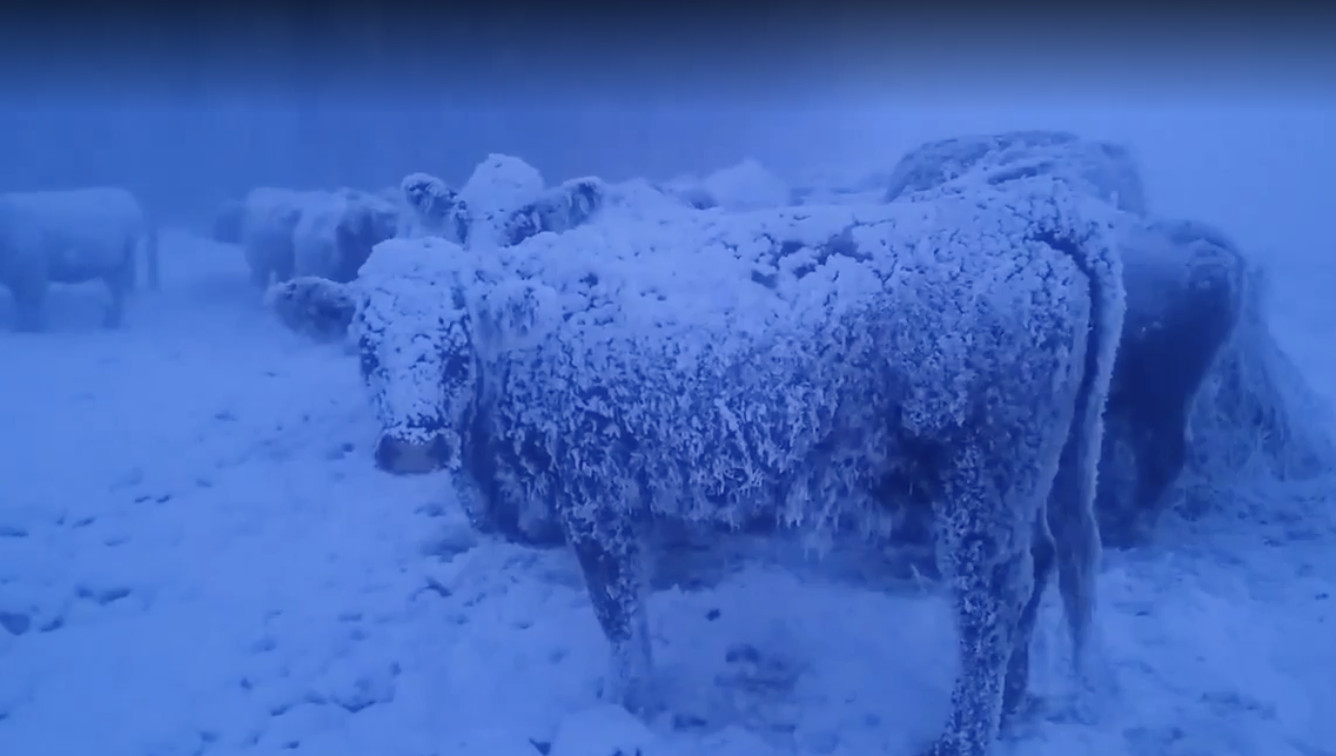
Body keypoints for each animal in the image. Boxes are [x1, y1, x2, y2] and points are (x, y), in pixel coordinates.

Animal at [0, 186, 160, 331]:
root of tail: (131, 201)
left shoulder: (33, 271)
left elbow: (31, 302)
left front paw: (32, 328)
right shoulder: (15, 274)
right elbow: (21, 301)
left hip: (123, 261)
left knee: (119, 293)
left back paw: (111, 322)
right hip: (112, 266)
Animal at [334, 178, 1127, 756]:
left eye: (454, 345)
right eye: (365, 347)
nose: (410, 443)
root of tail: (1027, 216)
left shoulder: (595, 505)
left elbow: (618, 618)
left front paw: (626, 707)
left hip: (979, 490)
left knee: (991, 597)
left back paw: (961, 739)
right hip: (1035, 482)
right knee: (1043, 566)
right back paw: (1013, 702)